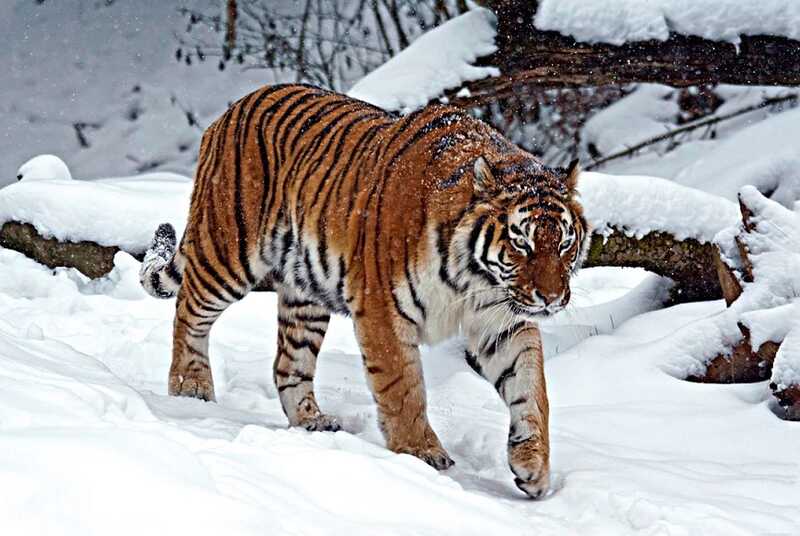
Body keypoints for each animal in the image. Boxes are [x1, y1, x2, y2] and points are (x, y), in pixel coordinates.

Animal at [138, 84, 588, 498]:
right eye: (521, 243)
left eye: (565, 243)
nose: (551, 299)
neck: (474, 279)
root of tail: (232, 108)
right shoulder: (383, 310)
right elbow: (403, 388)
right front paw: (421, 453)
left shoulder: (502, 320)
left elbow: (531, 388)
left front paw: (533, 466)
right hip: (228, 251)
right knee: (188, 311)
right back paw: (190, 387)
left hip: (305, 294)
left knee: (288, 363)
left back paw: (313, 422)